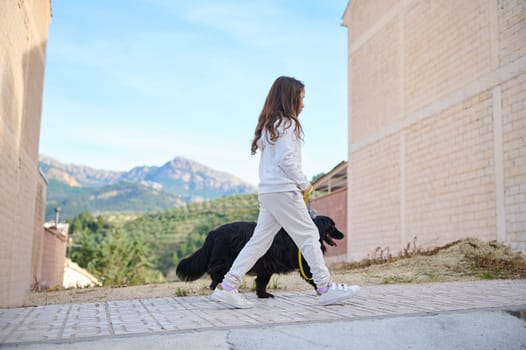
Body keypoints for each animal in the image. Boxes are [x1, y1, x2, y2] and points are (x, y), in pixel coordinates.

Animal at [175, 216, 344, 298]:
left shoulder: (266, 266)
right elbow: (315, 276)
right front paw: (324, 289)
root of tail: (213, 232)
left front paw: (262, 295)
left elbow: (261, 282)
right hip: (226, 262)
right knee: (216, 276)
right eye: (332, 225)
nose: (343, 234)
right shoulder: (306, 264)